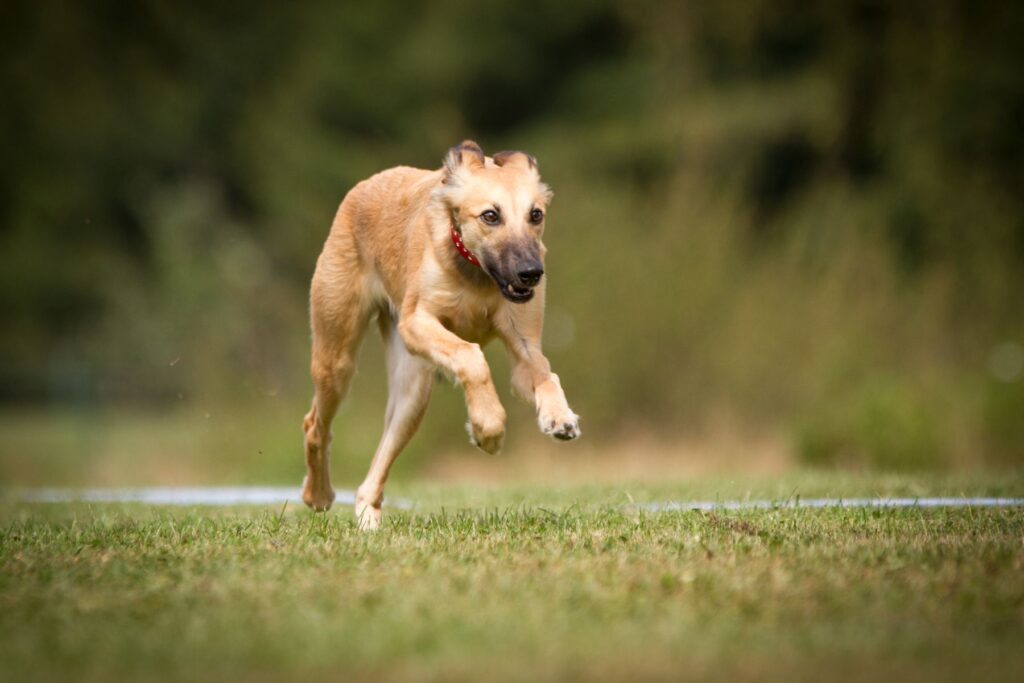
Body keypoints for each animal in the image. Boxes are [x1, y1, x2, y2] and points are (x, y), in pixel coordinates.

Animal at [299, 141, 581, 532]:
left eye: (535, 214)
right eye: (490, 215)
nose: (531, 273)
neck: (476, 273)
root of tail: (365, 186)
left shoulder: (524, 347)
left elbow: (545, 374)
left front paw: (558, 416)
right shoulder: (416, 322)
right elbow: (471, 356)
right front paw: (487, 429)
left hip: (412, 392)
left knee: (374, 474)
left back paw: (368, 521)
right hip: (337, 357)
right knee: (315, 424)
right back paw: (319, 494)